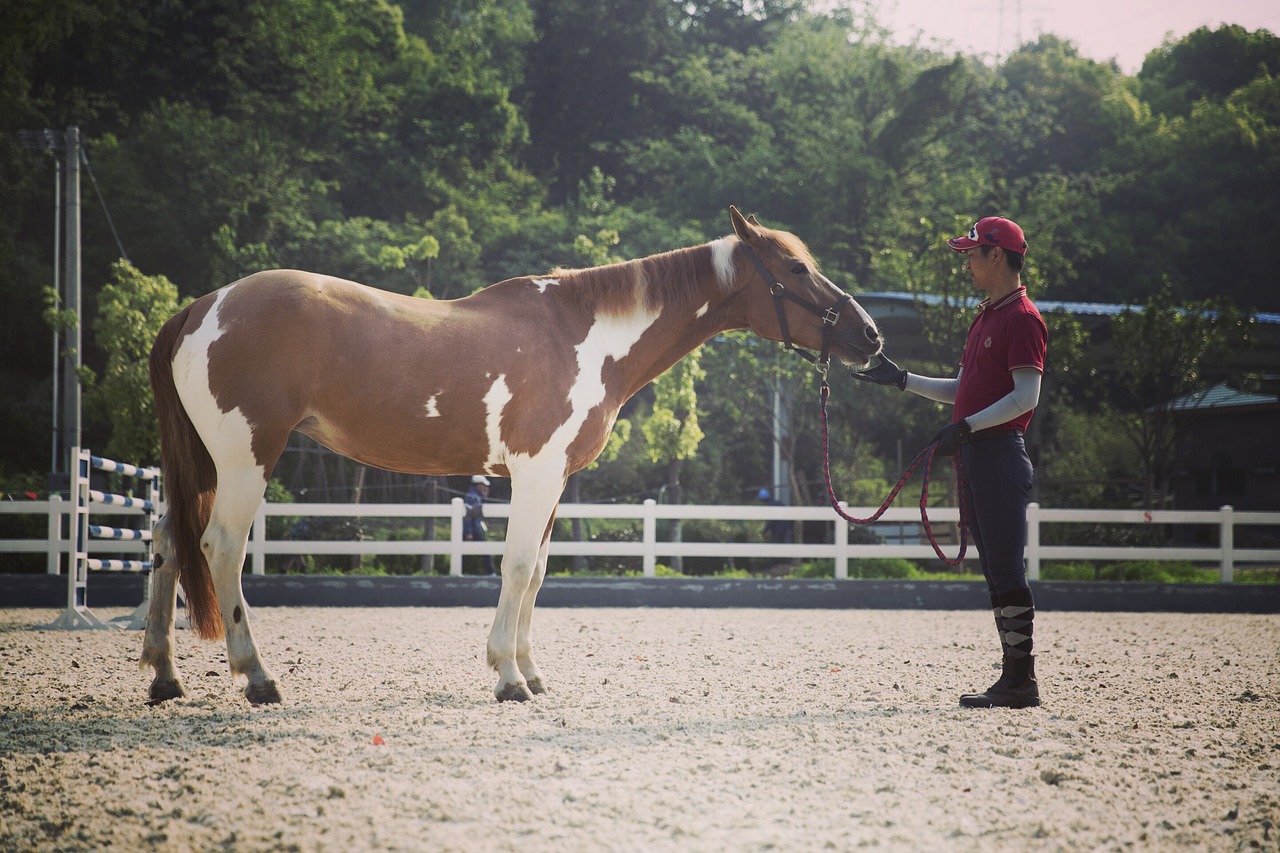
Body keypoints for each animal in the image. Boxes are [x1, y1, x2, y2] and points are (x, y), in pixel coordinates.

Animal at [140, 202, 880, 701]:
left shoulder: (553, 481)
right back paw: (258, 677)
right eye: (796, 268)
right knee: (220, 547)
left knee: (166, 541)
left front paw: (528, 669)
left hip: (202, 465)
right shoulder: (535, 472)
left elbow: (539, 572)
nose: (871, 336)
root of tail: (203, 306)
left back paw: (164, 675)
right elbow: (519, 566)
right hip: (245, 461)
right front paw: (507, 677)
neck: (586, 337)